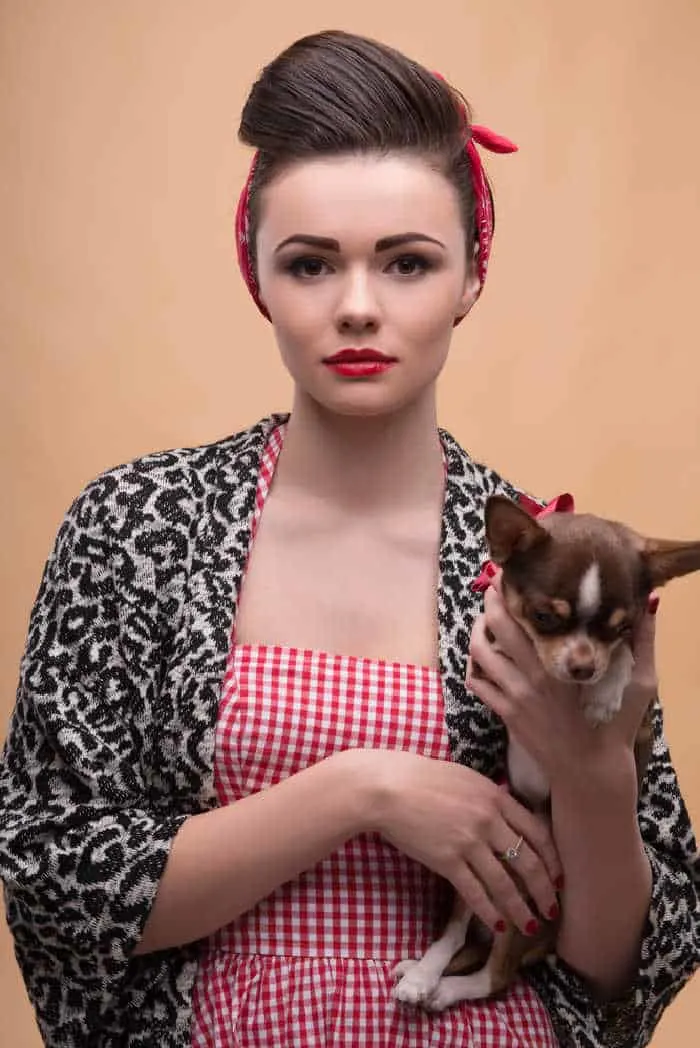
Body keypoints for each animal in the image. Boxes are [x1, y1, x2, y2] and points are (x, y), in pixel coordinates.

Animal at [394, 494, 700, 1010]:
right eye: (544, 617)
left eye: (623, 627)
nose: (582, 667)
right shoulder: (489, 654)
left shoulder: (640, 722)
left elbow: (623, 662)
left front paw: (604, 693)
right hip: (482, 884)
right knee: (459, 944)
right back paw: (421, 975)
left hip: (526, 909)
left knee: (494, 976)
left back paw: (437, 988)